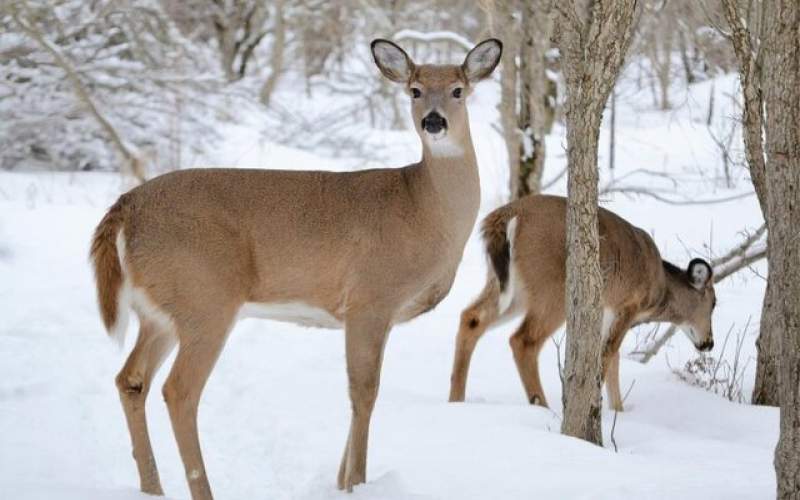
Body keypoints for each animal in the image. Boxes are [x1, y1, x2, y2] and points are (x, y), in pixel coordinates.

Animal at [90, 37, 504, 498]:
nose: (434, 121)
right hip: (205, 298)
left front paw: (342, 481)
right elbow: (364, 391)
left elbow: (359, 390)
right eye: (414, 90)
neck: (423, 209)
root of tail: (125, 208)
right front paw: (356, 481)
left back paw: (152, 487)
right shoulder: (370, 298)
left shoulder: (377, 314)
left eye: (458, 90)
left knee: (130, 378)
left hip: (160, 311)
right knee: (179, 390)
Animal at [446, 194, 716, 410]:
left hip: (510, 287)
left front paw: (618, 410)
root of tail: (506, 215)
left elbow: (613, 359)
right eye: (713, 304)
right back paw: (543, 407)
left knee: (471, 317)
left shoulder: (606, 311)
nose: (709, 343)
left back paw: (456, 400)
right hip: (552, 288)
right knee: (523, 340)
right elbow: (608, 354)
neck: (659, 289)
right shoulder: (628, 305)